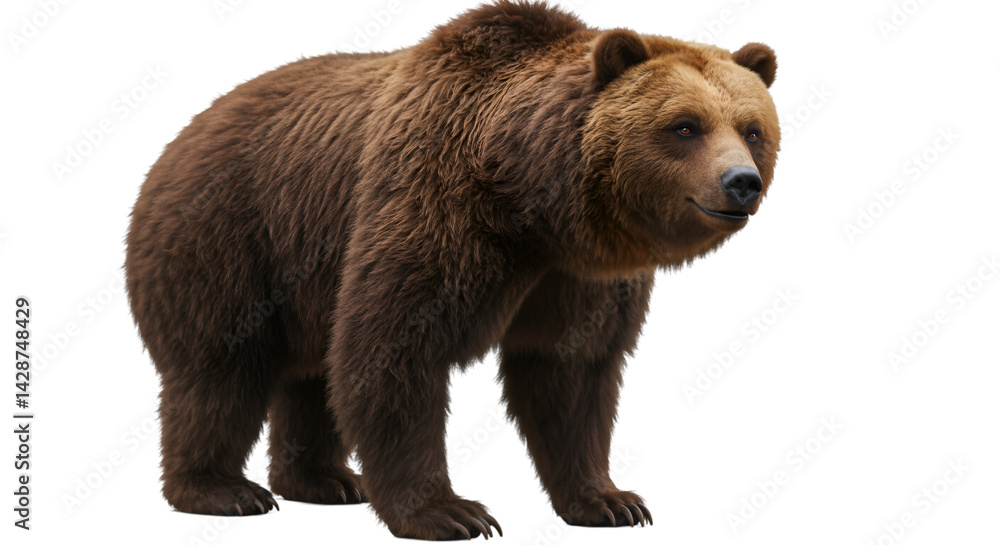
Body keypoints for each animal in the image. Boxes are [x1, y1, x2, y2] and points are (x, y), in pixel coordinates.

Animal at [124, 0, 779, 540]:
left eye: (753, 129)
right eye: (685, 126)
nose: (741, 183)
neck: (533, 203)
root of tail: (179, 137)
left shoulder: (579, 276)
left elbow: (570, 372)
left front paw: (611, 501)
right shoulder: (436, 205)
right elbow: (391, 348)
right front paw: (451, 512)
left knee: (310, 374)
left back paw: (326, 481)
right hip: (230, 239)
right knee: (220, 370)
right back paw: (224, 490)